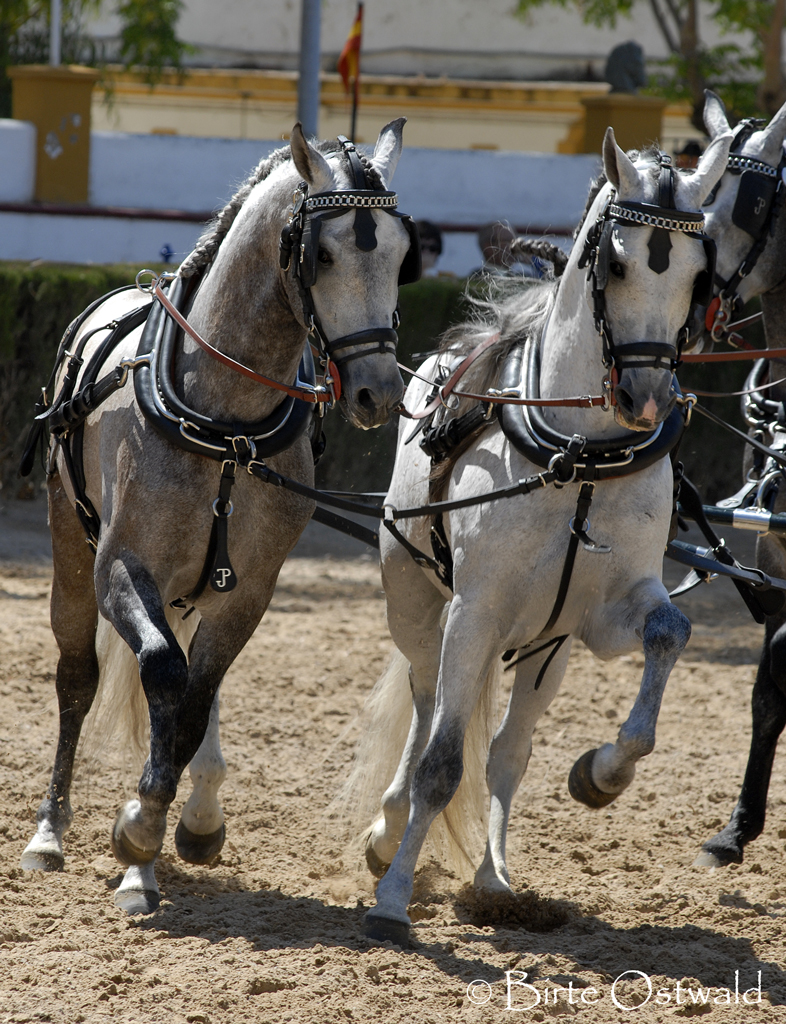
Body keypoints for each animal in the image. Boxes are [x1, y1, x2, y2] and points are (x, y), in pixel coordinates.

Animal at [350, 121, 728, 942]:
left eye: (698, 274)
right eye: (616, 261)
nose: (646, 398)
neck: (580, 456)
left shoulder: (601, 617)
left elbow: (669, 633)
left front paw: (602, 774)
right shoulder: (475, 612)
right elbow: (439, 764)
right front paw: (391, 899)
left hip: (545, 650)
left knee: (505, 753)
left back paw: (493, 877)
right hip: (424, 611)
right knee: (427, 705)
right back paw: (389, 832)